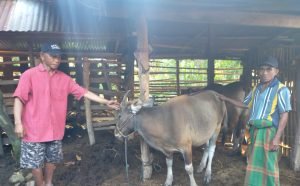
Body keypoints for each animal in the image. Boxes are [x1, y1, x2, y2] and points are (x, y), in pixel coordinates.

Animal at [115, 90, 246, 186]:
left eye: (119, 115)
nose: (116, 134)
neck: (164, 121)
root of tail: (216, 94)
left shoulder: (186, 146)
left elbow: (188, 168)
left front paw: (193, 183)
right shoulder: (167, 149)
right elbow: (169, 163)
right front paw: (168, 180)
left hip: (216, 128)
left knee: (212, 150)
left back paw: (207, 174)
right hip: (205, 131)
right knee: (207, 147)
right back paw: (201, 166)